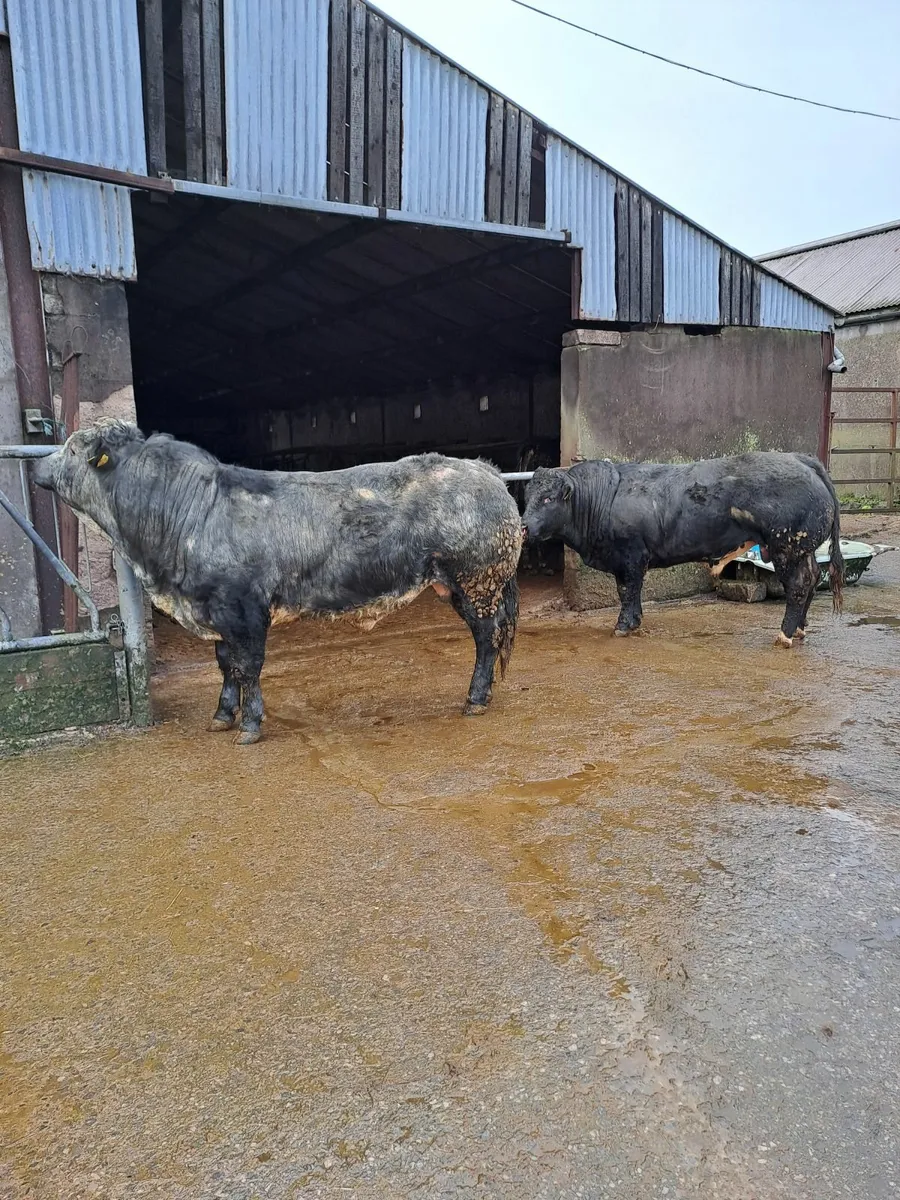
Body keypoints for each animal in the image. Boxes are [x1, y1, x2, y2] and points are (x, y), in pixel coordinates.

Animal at [34, 421, 522, 744]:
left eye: (73, 449)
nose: (38, 467)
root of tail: (483, 469)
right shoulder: (217, 610)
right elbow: (225, 663)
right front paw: (222, 715)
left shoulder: (244, 608)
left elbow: (248, 665)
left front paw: (249, 725)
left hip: (476, 580)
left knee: (487, 637)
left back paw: (476, 698)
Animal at [521, 452, 844, 647]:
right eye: (527, 495)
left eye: (548, 498)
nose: (523, 526)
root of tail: (800, 459)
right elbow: (632, 594)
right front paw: (635, 622)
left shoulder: (630, 557)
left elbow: (627, 591)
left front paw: (624, 625)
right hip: (802, 551)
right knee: (812, 579)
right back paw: (800, 628)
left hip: (787, 549)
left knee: (798, 586)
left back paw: (785, 634)